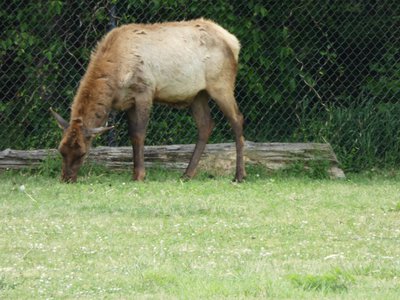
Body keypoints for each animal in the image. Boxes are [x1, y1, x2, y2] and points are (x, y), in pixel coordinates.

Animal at [51, 19, 245, 183]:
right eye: (61, 150)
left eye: (82, 153)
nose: (66, 179)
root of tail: (234, 42)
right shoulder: (128, 101)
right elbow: (132, 135)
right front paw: (135, 173)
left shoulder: (144, 91)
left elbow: (139, 134)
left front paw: (140, 175)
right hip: (198, 94)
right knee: (206, 124)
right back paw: (187, 174)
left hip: (221, 84)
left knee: (237, 119)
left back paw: (239, 175)